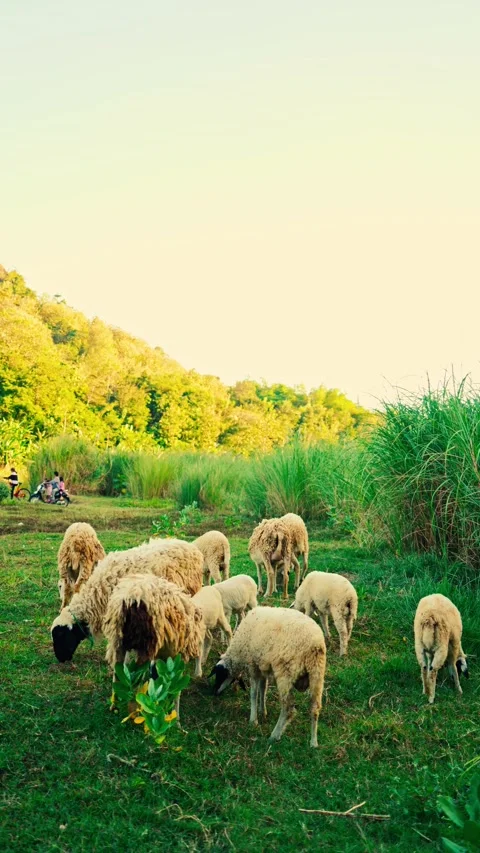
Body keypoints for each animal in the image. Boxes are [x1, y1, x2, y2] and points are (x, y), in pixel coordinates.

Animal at [103, 574, 204, 723]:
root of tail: (133, 597)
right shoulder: (177, 655)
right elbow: (176, 686)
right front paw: (176, 718)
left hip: (118, 641)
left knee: (118, 671)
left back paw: (114, 705)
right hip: (145, 644)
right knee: (135, 677)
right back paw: (135, 712)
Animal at [210, 606, 327, 748]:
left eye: (219, 676)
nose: (214, 692)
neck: (238, 652)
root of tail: (315, 643)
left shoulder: (253, 666)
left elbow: (253, 693)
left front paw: (253, 720)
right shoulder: (263, 666)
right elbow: (263, 689)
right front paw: (262, 711)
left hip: (285, 673)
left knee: (288, 708)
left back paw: (274, 735)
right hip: (317, 673)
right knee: (315, 707)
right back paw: (313, 742)